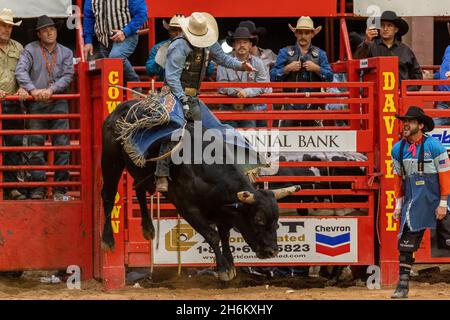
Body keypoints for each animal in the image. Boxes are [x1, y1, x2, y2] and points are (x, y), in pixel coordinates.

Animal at [100, 100, 300, 280]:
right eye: (258, 219)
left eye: (277, 220)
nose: (272, 251)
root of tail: (120, 109)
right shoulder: (188, 208)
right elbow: (212, 236)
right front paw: (223, 269)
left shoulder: (222, 210)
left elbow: (225, 235)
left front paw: (230, 264)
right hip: (111, 159)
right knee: (108, 195)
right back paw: (107, 240)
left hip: (141, 172)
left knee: (138, 188)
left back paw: (148, 229)